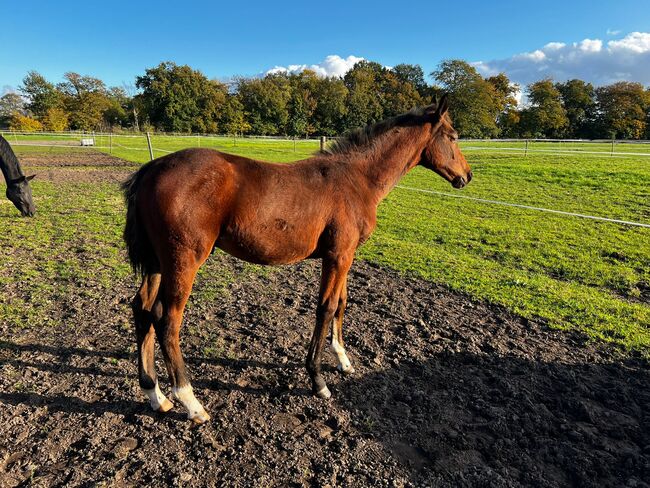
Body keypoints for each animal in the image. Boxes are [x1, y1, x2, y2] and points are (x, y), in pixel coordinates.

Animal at [121, 95, 468, 424]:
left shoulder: (345, 254)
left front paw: (343, 360)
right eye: (452, 136)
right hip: (183, 260)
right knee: (167, 319)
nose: (467, 175)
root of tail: (150, 169)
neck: (357, 179)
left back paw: (155, 395)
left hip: (157, 263)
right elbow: (326, 307)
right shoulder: (338, 255)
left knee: (142, 309)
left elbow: (342, 303)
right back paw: (191, 403)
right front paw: (318, 380)